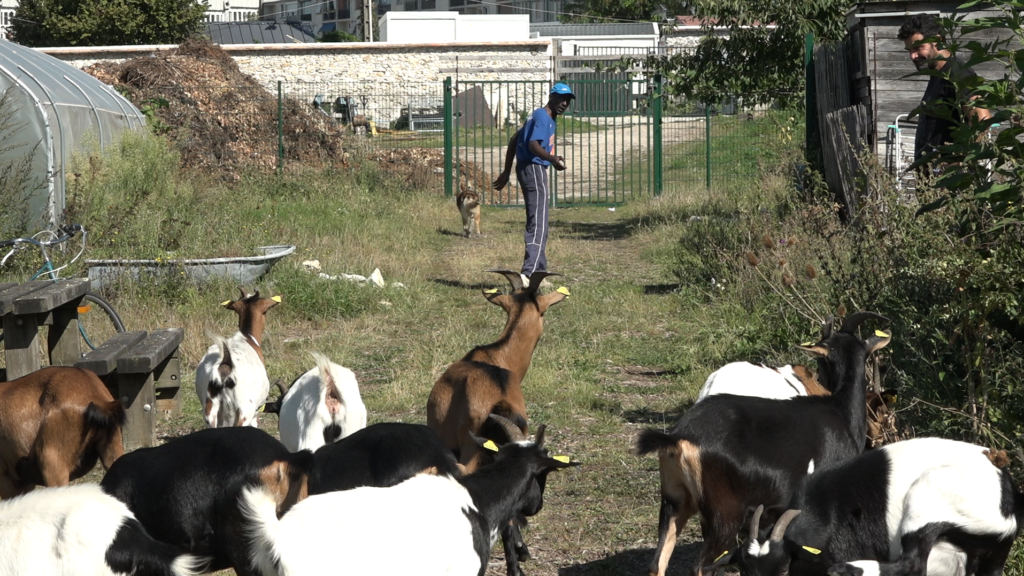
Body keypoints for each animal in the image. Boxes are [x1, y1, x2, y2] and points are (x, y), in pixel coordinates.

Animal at [638, 313, 888, 573]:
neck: (840, 410)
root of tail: (678, 436)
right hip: (724, 513)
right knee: (702, 565)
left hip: (673, 502)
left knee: (657, 563)